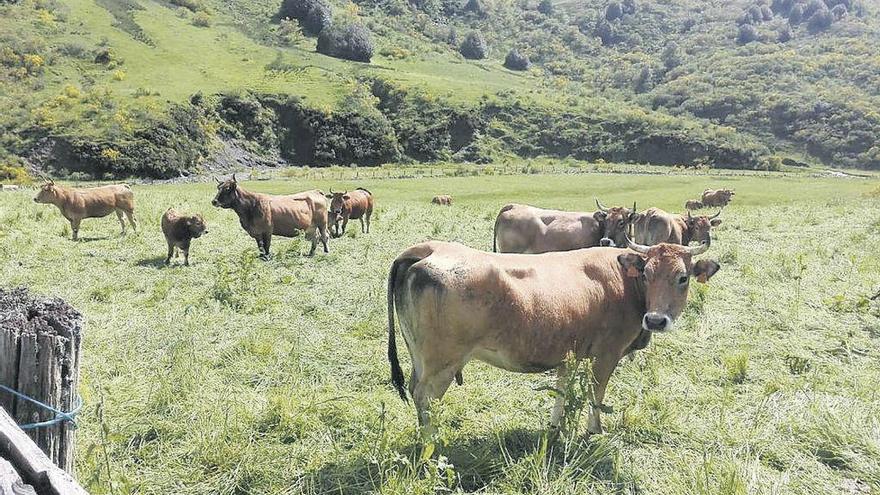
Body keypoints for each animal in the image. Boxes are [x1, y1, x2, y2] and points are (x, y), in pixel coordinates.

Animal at [388, 236, 720, 434]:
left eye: (682, 277)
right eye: (647, 274)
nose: (655, 319)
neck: (624, 283)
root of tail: (427, 249)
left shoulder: (567, 353)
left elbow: (561, 391)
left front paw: (555, 428)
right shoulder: (606, 354)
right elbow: (596, 394)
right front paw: (594, 431)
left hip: (420, 357)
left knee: (415, 390)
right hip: (442, 363)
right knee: (425, 398)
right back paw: (434, 445)